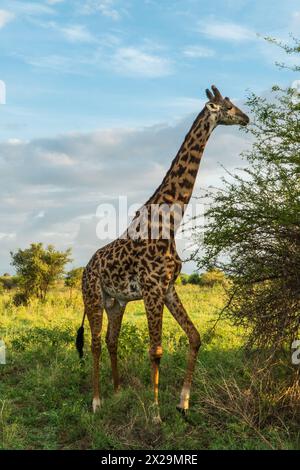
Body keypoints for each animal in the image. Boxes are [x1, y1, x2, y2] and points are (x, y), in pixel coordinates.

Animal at [76, 85, 250, 422]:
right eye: (227, 107)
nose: (246, 118)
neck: (169, 223)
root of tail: (86, 267)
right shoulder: (152, 289)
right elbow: (155, 351)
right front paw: (156, 414)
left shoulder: (168, 288)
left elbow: (195, 337)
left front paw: (184, 403)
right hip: (93, 297)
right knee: (94, 343)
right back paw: (97, 401)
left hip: (116, 302)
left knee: (112, 340)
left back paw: (117, 390)